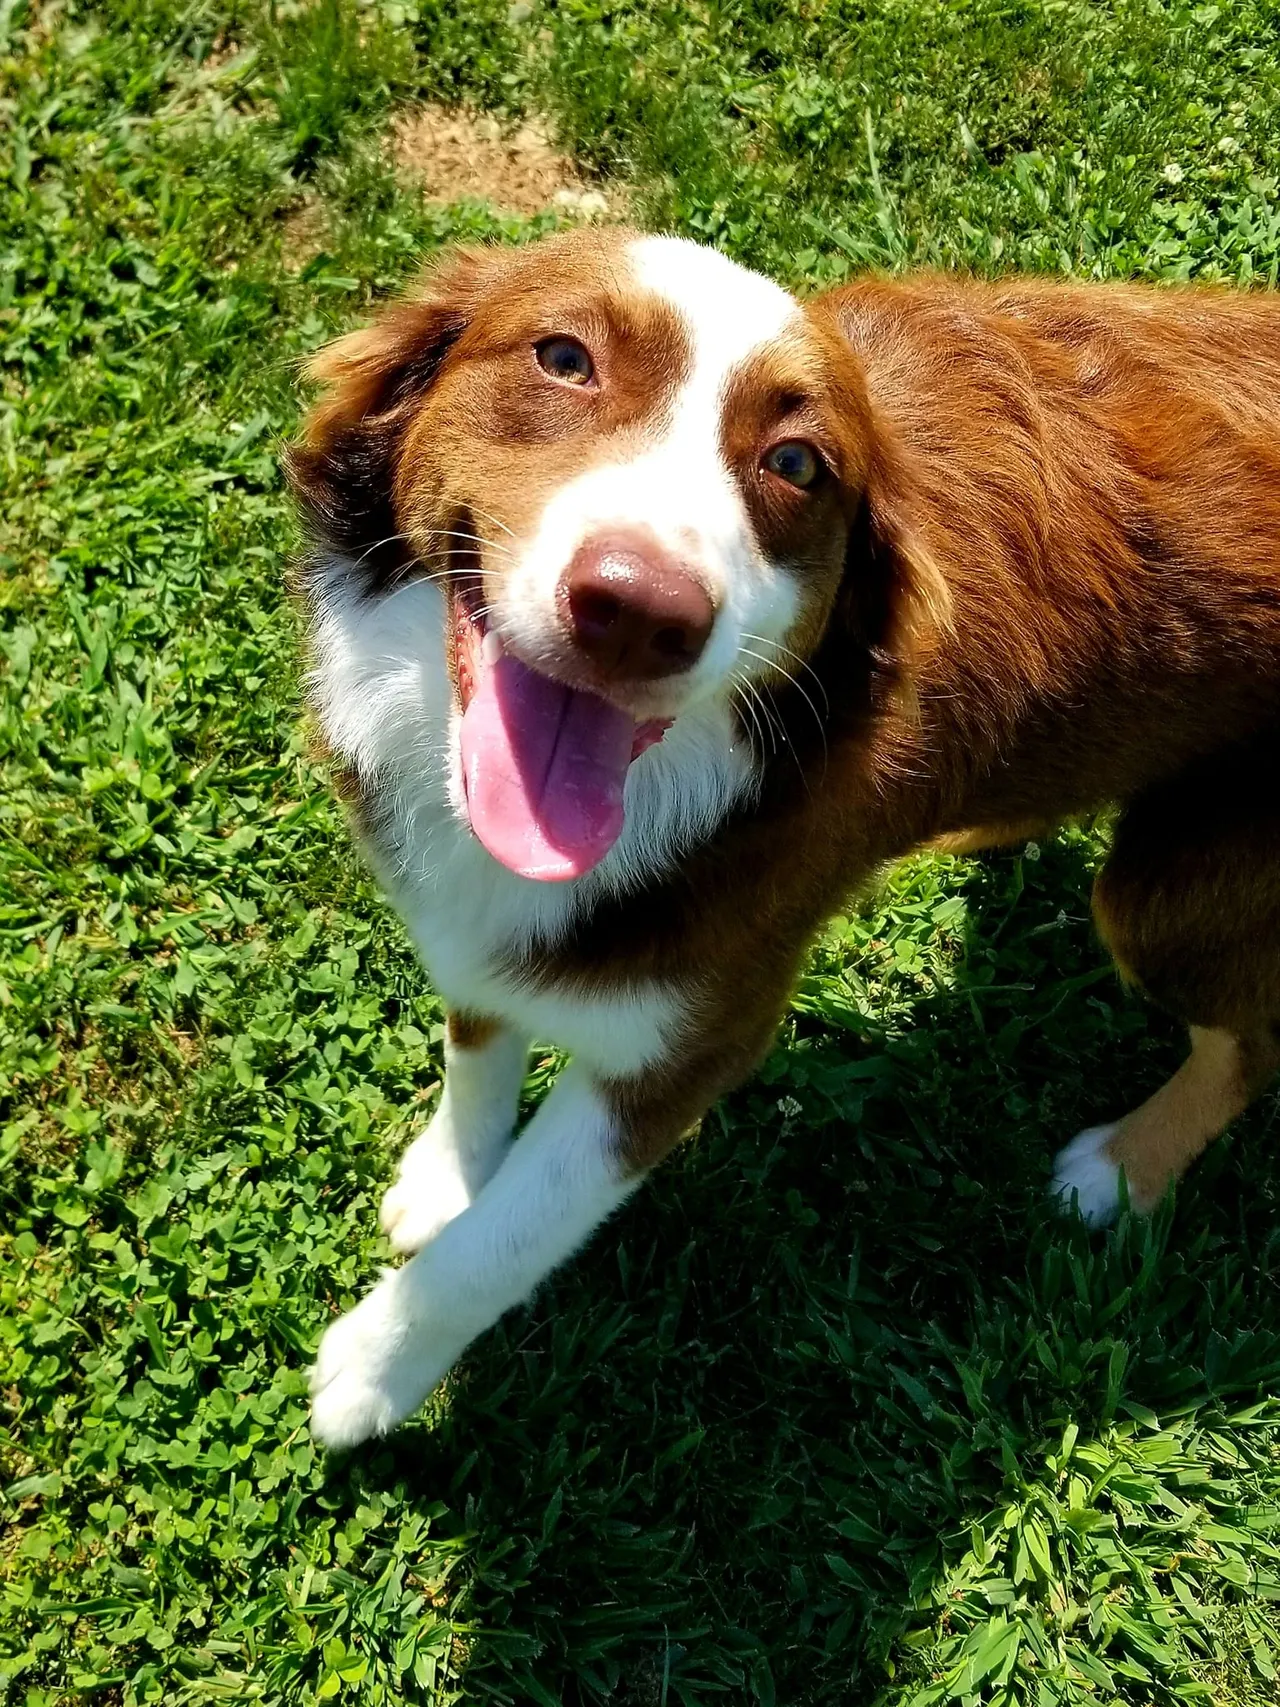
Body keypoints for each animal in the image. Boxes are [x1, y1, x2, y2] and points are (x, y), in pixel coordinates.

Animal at [285, 230, 1280, 1454]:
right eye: (562, 357)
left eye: (797, 464)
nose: (641, 613)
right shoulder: (477, 923)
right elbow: (477, 1034)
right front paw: (448, 1172)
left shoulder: (698, 1038)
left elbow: (510, 1236)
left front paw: (376, 1371)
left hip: (1170, 893)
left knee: (1248, 1047)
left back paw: (1117, 1171)